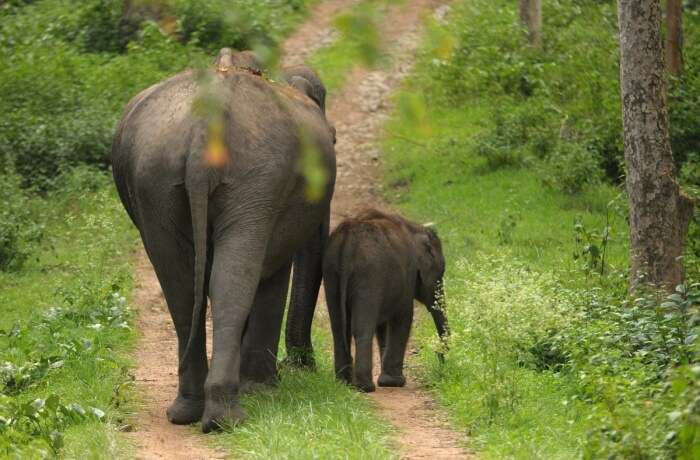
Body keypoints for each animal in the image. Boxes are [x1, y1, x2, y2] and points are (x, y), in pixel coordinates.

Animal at [113, 48, 336, 430]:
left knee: (182, 284)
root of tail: (207, 124)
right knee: (232, 279)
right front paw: (263, 388)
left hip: (156, 179)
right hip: (253, 177)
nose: (303, 362)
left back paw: (190, 412)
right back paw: (227, 416)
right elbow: (272, 274)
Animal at [322, 208, 448, 392]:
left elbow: (382, 327)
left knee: (338, 327)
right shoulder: (407, 274)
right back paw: (365, 387)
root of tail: (347, 242)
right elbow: (403, 317)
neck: (414, 228)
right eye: (441, 274)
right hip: (369, 275)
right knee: (362, 328)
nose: (439, 357)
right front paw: (394, 383)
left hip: (331, 272)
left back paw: (344, 382)